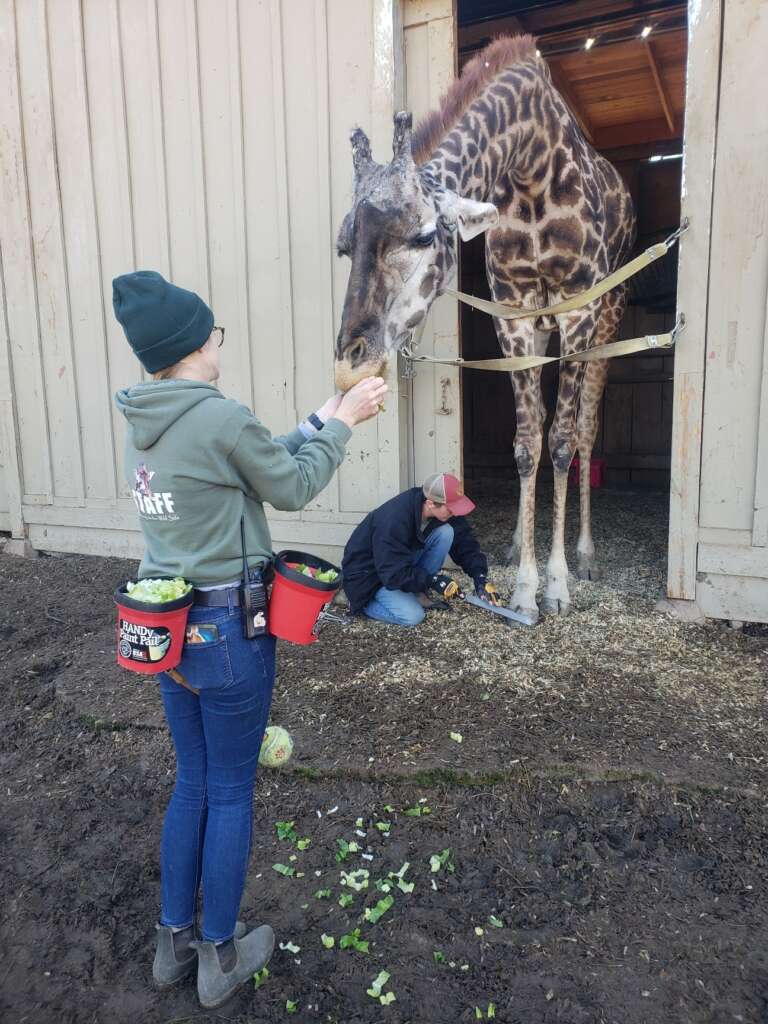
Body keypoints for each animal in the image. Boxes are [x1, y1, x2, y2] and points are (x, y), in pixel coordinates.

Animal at [334, 35, 636, 619]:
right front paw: (522, 586)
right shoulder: (513, 315)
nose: (349, 364)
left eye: (425, 236)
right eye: (343, 245)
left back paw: (586, 556)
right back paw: (520, 542)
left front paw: (556, 586)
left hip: (607, 320)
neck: (532, 168)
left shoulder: (577, 311)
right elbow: (525, 444)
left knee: (586, 431)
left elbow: (561, 441)